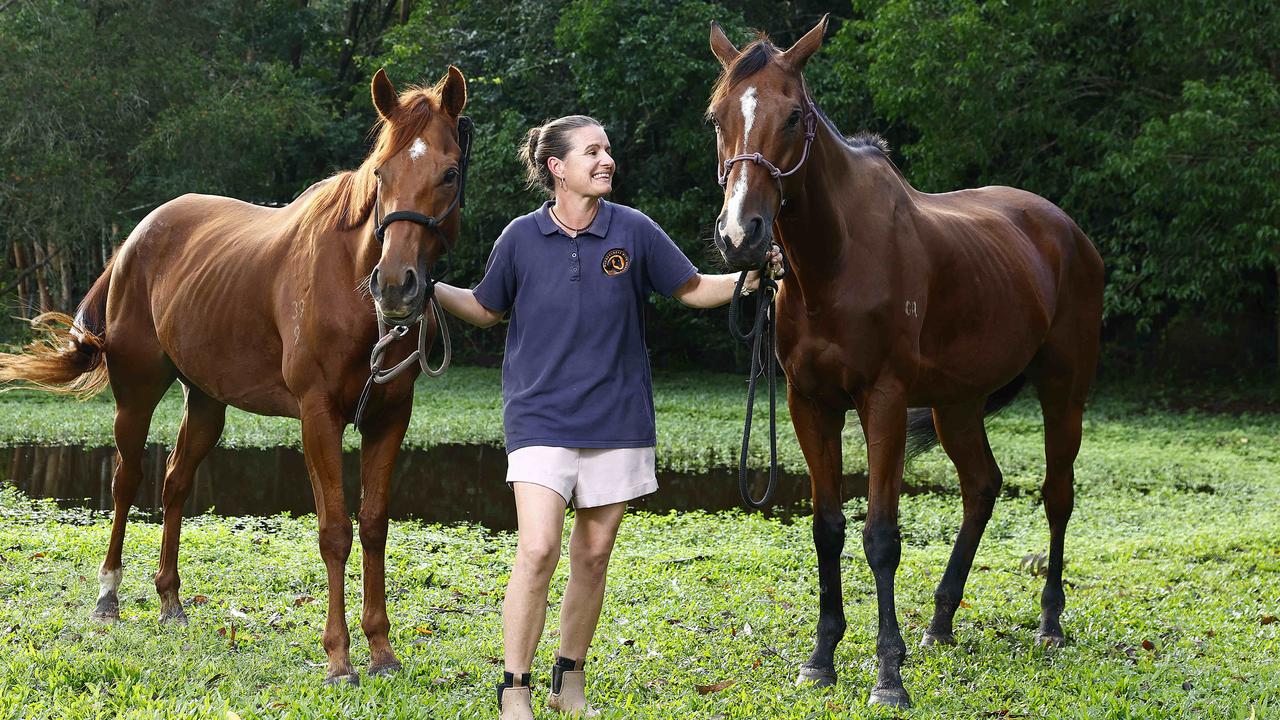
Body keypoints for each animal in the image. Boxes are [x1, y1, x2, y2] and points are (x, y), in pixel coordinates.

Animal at [0, 65, 471, 676]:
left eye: (449, 173)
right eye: (380, 172)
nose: (395, 286)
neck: (349, 288)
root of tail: (132, 241)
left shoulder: (389, 416)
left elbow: (372, 526)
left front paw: (381, 650)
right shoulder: (318, 416)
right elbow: (335, 530)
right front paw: (339, 657)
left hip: (205, 402)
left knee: (174, 482)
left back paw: (171, 601)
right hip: (136, 394)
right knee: (126, 479)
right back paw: (108, 596)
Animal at [706, 18, 1105, 707]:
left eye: (793, 116)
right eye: (717, 117)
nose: (741, 234)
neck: (836, 261)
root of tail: (1068, 231)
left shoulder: (884, 401)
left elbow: (881, 536)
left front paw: (887, 673)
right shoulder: (811, 404)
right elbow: (828, 527)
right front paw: (821, 659)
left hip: (1063, 390)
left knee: (1057, 495)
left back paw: (1051, 622)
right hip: (958, 405)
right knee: (982, 488)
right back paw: (942, 620)